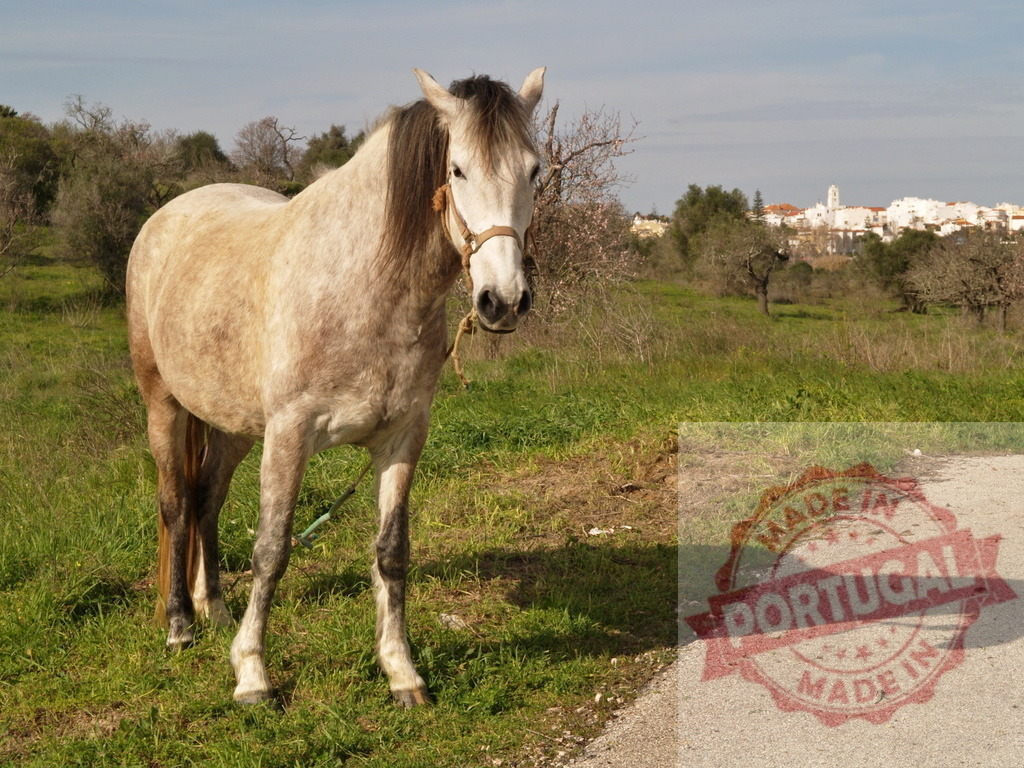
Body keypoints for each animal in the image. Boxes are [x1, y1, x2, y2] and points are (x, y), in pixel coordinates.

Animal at [126, 67, 545, 707]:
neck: (365, 287)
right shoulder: (290, 436)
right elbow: (272, 550)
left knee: (206, 500)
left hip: (233, 426)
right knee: (176, 506)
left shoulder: (401, 438)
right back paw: (180, 626)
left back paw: (214, 610)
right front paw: (252, 674)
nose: (503, 300)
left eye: (534, 170)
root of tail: (167, 214)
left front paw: (401, 672)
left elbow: (392, 553)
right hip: (164, 406)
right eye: (457, 170)